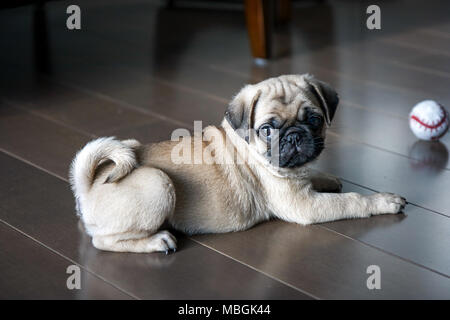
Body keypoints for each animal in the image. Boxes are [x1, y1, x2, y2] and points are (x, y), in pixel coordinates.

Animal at [70, 74, 408, 254]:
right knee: (103, 240)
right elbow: (351, 201)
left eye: (313, 120)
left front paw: (327, 177)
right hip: (157, 183)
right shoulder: (303, 205)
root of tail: (88, 186)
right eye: (268, 130)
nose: (295, 136)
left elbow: (314, 174)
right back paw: (157, 241)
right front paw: (382, 201)